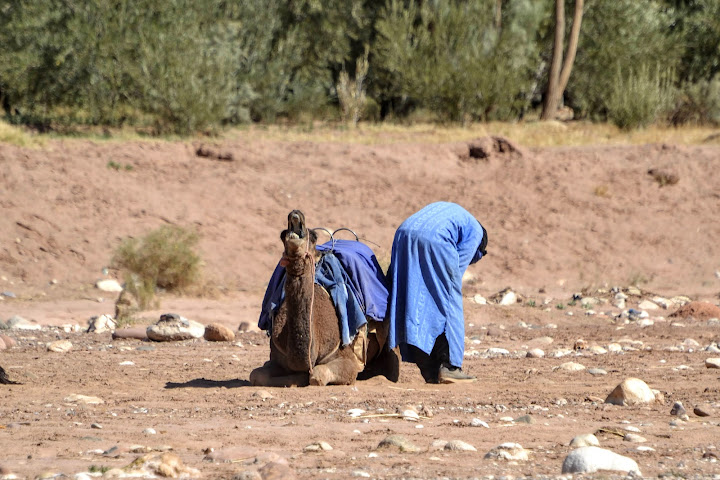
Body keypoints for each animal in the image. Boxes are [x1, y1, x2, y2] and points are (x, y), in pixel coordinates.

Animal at [250, 210, 400, 386]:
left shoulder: (346, 358)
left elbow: (317, 376)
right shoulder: (276, 357)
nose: (296, 214)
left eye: (314, 236)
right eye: (282, 235)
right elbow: (256, 375)